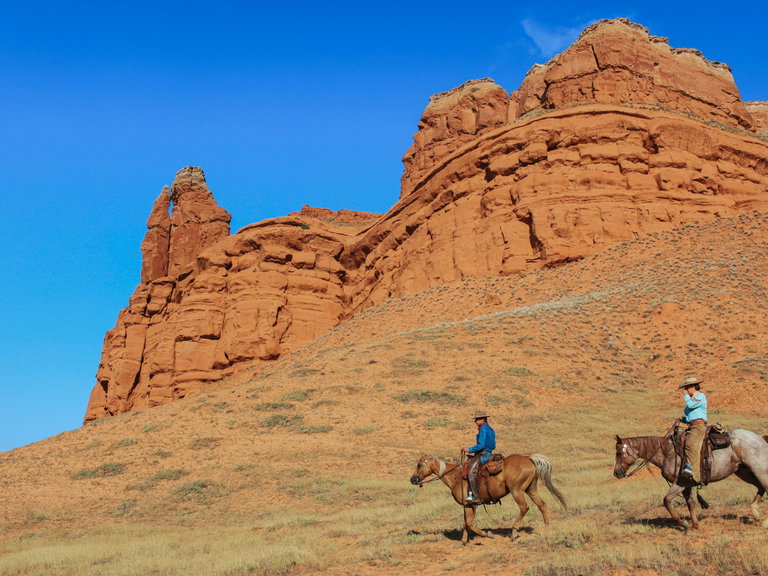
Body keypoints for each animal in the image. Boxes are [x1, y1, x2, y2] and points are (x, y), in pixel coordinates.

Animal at [410, 453, 567, 544]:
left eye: (419, 465)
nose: (413, 479)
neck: (456, 478)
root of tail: (529, 458)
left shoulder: (471, 505)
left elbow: (469, 524)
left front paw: (487, 535)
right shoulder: (467, 506)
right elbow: (466, 523)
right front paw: (464, 541)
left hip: (517, 491)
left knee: (524, 507)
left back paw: (514, 532)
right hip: (531, 489)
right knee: (542, 505)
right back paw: (547, 527)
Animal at [614, 428, 768, 530]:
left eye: (619, 453)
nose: (616, 473)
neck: (667, 452)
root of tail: (761, 438)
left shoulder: (680, 483)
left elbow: (666, 501)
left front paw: (684, 524)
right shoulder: (686, 486)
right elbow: (691, 504)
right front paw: (695, 525)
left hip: (759, 470)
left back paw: (764, 522)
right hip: (744, 472)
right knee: (760, 487)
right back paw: (756, 513)